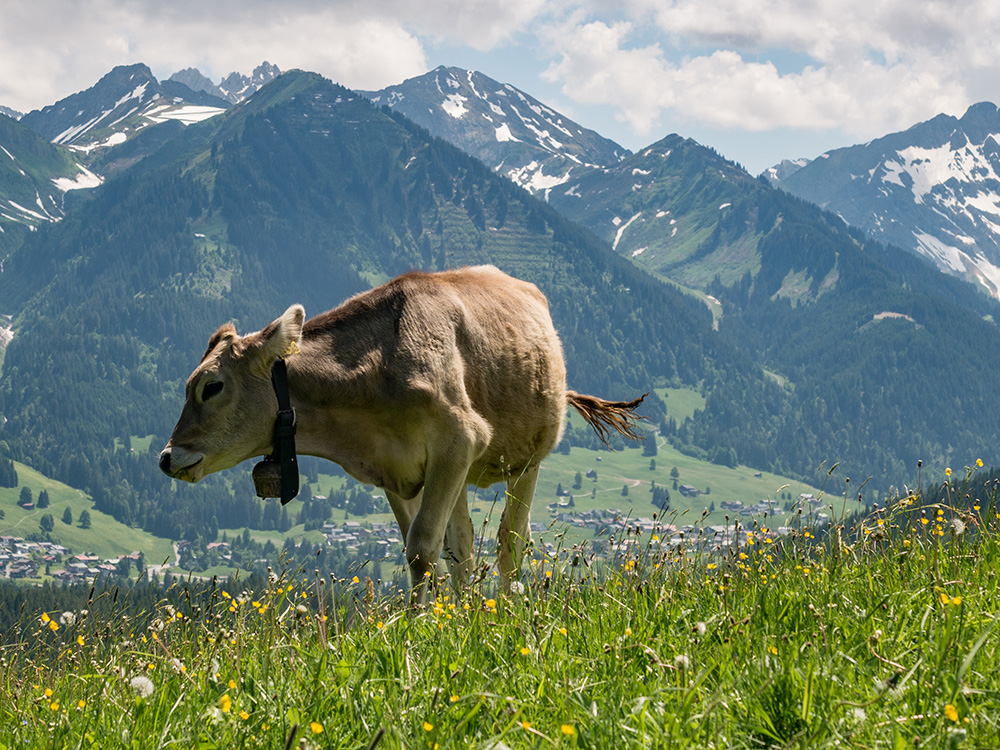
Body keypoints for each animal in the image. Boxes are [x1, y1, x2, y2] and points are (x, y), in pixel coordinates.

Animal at [156, 268, 640, 604]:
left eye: (211, 386)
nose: (166, 457)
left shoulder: (459, 439)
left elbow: (423, 548)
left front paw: (416, 624)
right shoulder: (396, 470)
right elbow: (431, 552)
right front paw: (438, 620)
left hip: (527, 460)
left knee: (510, 542)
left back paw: (506, 610)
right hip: (461, 473)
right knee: (464, 545)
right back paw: (470, 612)